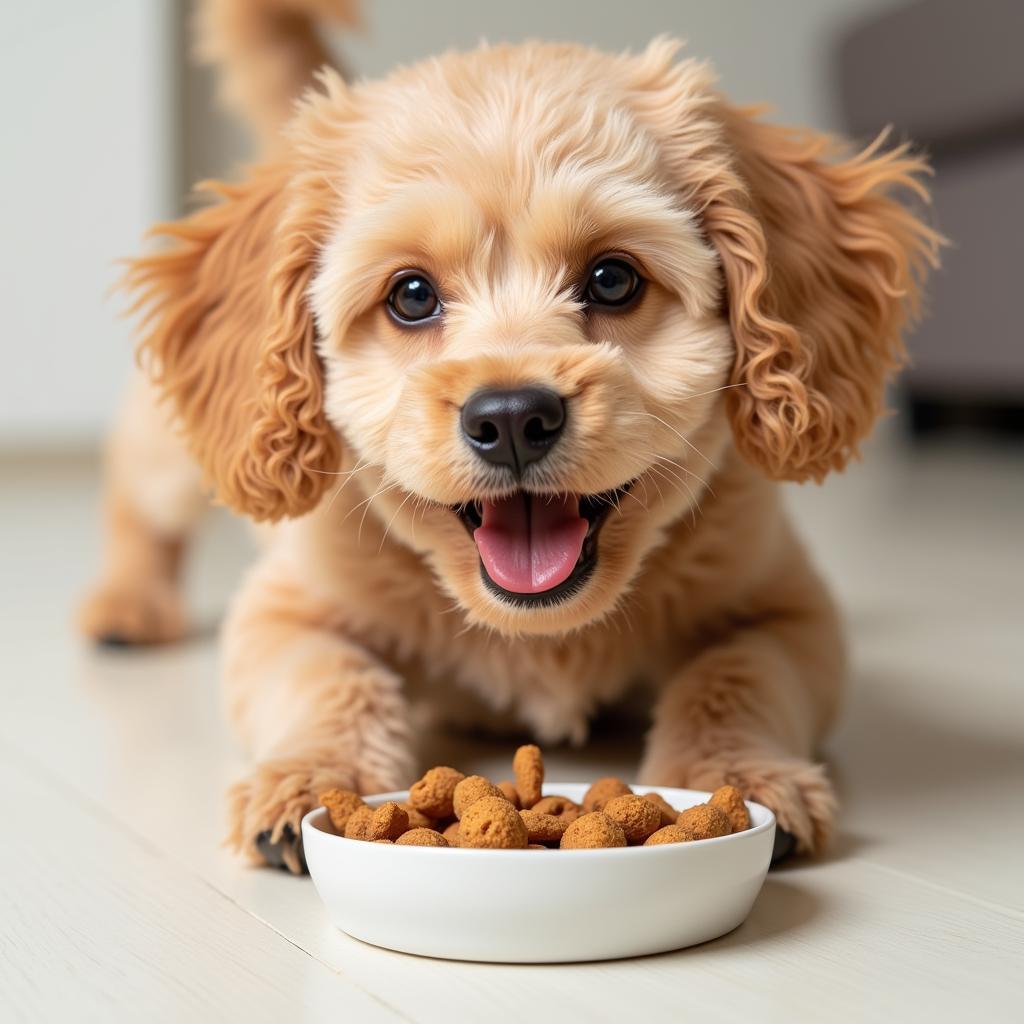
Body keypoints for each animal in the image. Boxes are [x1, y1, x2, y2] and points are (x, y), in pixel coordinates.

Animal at [79, 0, 937, 868]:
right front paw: (313, 778)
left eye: (613, 279)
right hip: (180, 450)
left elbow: (737, 675)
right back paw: (126, 603)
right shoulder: (286, 609)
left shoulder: (788, 611)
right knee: (135, 494)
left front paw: (737, 779)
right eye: (411, 295)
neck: (536, 629)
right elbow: (330, 677)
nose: (514, 419)